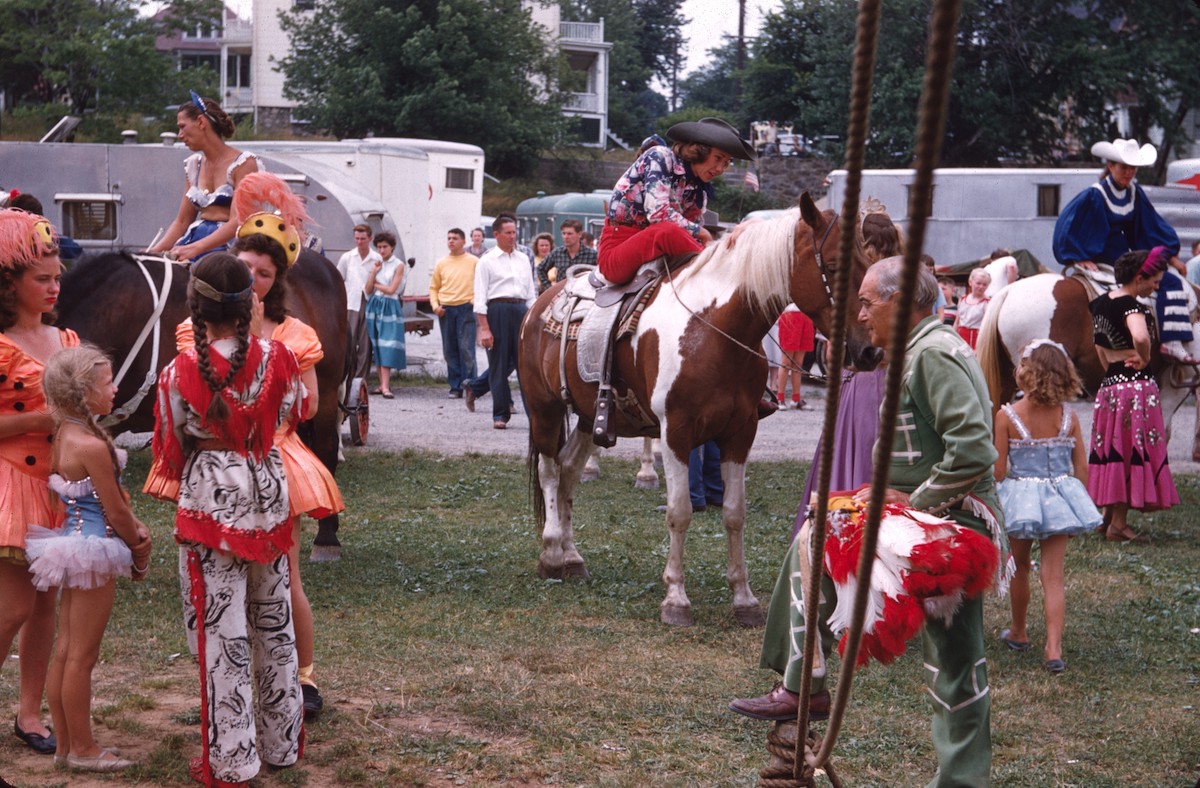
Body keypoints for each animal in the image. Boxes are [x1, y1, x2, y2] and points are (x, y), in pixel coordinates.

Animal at [520, 193, 878, 623]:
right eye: (835, 266)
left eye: (868, 264)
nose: (870, 350)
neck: (713, 326)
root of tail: (539, 303)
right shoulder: (676, 432)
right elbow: (680, 511)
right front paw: (676, 598)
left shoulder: (740, 433)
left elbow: (735, 513)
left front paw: (744, 599)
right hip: (544, 410)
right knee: (550, 473)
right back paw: (552, 554)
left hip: (592, 418)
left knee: (570, 470)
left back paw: (572, 556)